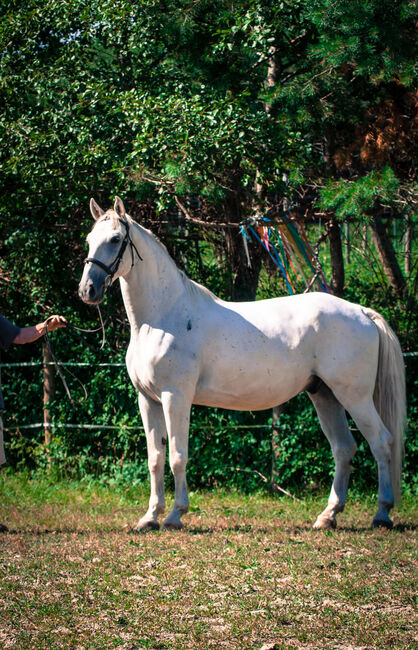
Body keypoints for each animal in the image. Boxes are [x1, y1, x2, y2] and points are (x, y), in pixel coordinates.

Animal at [77, 199, 404, 532]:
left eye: (115, 239)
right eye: (89, 239)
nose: (87, 290)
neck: (162, 317)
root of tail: (361, 312)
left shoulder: (175, 397)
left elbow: (177, 456)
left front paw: (175, 515)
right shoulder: (148, 400)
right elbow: (155, 458)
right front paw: (150, 517)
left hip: (354, 397)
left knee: (381, 442)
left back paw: (382, 513)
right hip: (324, 395)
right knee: (343, 448)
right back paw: (328, 515)